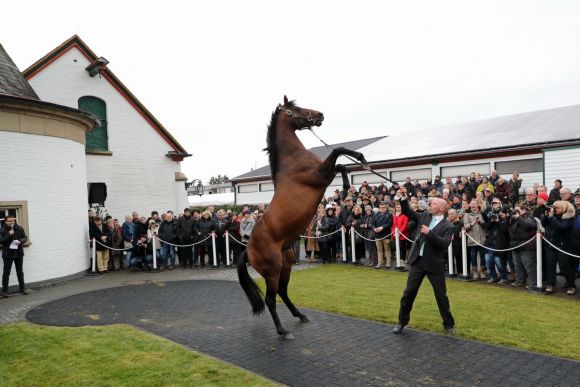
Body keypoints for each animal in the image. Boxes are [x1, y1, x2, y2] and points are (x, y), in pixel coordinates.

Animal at [238, 97, 370, 340]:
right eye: (297, 108)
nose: (320, 115)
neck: (292, 159)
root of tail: (248, 249)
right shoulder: (319, 175)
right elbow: (338, 153)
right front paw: (360, 162)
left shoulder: (325, 174)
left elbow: (340, 163)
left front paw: (346, 188)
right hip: (272, 270)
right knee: (271, 299)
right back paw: (283, 330)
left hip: (286, 265)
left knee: (283, 292)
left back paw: (300, 315)